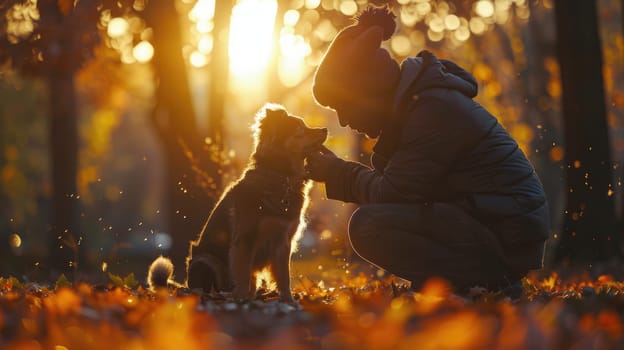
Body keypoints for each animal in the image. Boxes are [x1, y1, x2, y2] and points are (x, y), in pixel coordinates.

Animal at [149, 102, 330, 302]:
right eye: (300, 129)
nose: (325, 129)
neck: (281, 175)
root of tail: (186, 287)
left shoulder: (283, 242)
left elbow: (284, 276)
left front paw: (288, 299)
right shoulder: (244, 239)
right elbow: (243, 274)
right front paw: (242, 298)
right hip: (207, 261)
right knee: (207, 289)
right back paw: (226, 295)